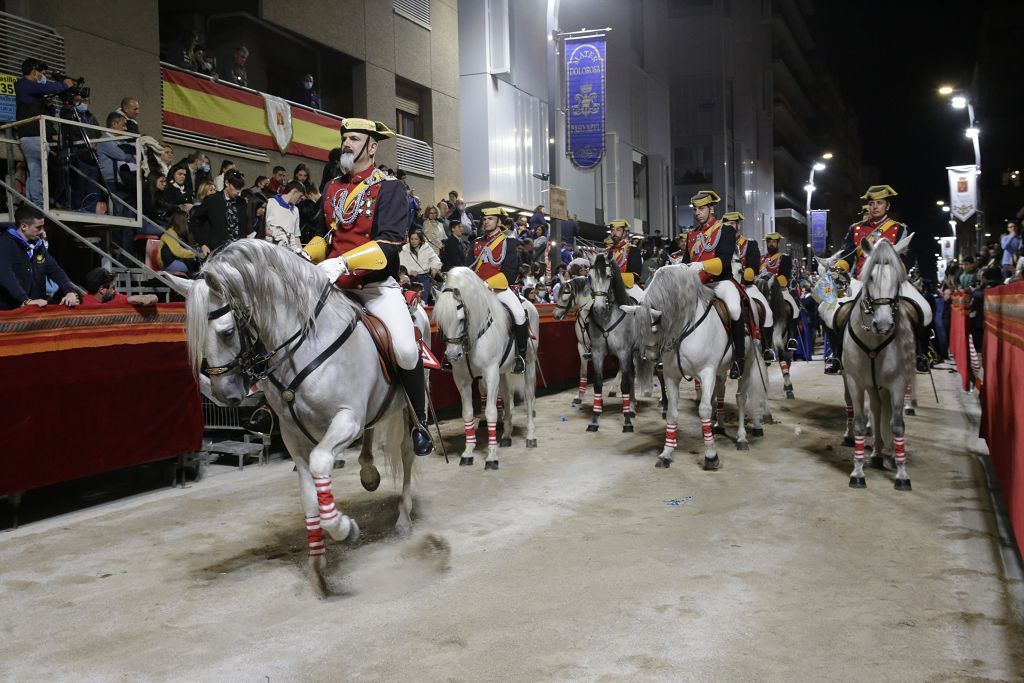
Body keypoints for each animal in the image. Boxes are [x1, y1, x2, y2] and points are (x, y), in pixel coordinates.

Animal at [180, 240, 415, 593]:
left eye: (226, 332)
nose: (224, 393)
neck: (306, 344)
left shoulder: (346, 420)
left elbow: (321, 464)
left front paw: (343, 528)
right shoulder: (293, 437)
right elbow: (308, 494)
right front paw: (317, 564)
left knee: (407, 454)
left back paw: (404, 516)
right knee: (372, 434)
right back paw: (369, 473)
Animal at [432, 266, 540, 471]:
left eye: (460, 319)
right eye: (440, 321)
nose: (452, 355)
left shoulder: (490, 374)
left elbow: (490, 413)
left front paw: (491, 457)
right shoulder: (462, 379)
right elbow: (467, 413)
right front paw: (468, 453)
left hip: (529, 364)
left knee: (529, 396)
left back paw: (531, 436)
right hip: (503, 372)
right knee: (507, 397)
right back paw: (506, 436)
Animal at [626, 266, 765, 471]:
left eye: (655, 326)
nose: (651, 356)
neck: (685, 326)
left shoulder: (707, 373)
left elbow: (704, 409)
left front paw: (711, 455)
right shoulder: (671, 376)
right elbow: (672, 413)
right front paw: (666, 453)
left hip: (746, 365)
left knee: (740, 398)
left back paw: (741, 438)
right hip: (720, 370)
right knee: (720, 392)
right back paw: (719, 425)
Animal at [835, 236, 917, 491]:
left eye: (898, 278)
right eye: (870, 276)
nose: (883, 324)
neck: (875, 339)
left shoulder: (898, 382)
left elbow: (897, 424)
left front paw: (902, 474)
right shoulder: (855, 381)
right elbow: (861, 422)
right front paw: (857, 472)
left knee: (883, 413)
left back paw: (887, 454)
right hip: (871, 385)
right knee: (878, 409)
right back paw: (878, 454)